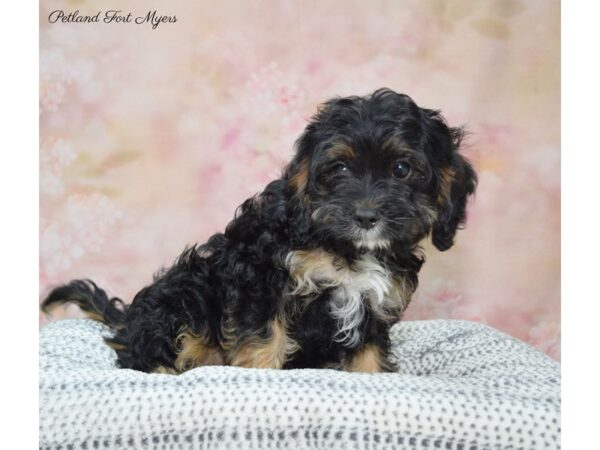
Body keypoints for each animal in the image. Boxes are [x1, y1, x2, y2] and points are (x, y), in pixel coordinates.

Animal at [39, 88, 476, 372]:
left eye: (402, 169)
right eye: (339, 168)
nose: (366, 216)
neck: (347, 247)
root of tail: (128, 318)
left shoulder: (373, 304)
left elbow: (368, 350)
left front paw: (373, 378)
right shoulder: (262, 279)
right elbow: (264, 336)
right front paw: (259, 375)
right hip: (186, 291)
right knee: (141, 352)